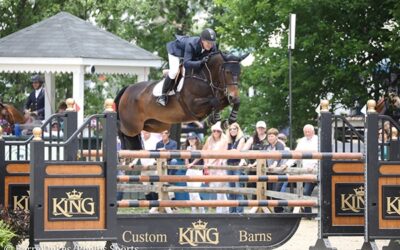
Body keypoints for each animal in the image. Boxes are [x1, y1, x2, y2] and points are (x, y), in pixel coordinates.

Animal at [114, 49, 248, 149]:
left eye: (240, 72)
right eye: (227, 72)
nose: (233, 95)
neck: (206, 77)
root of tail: (127, 89)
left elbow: (232, 102)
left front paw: (227, 119)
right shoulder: (193, 106)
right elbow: (214, 101)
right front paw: (216, 118)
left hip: (156, 125)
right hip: (132, 126)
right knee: (120, 128)